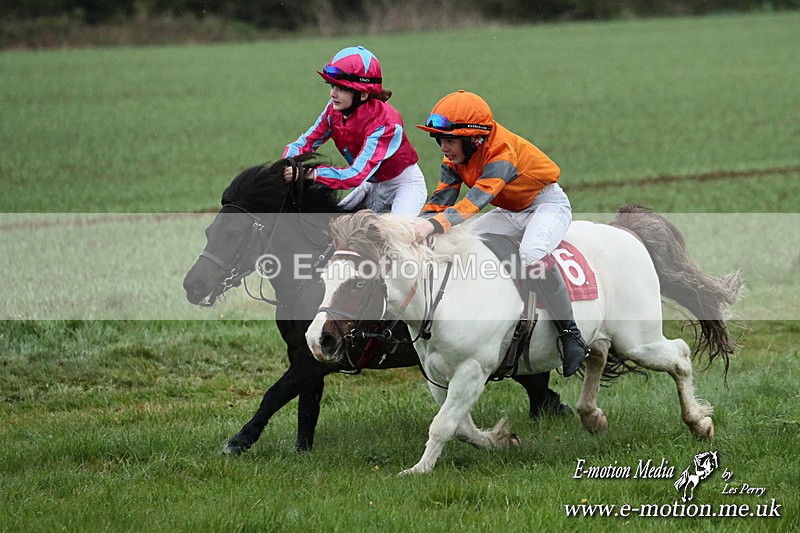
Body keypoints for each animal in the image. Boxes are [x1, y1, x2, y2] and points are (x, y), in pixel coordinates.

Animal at [182, 154, 567, 455]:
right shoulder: (308, 349)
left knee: (541, 389)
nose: (192, 285)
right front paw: (301, 451)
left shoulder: (315, 357)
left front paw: (238, 441)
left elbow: (274, 395)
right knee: (541, 392)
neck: (313, 272)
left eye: (233, 233)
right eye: (208, 232)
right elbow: (307, 406)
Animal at [306, 208, 741, 474]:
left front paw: (418, 469)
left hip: (638, 337)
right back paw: (592, 415)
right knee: (596, 355)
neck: (442, 294)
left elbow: (442, 425)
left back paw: (699, 423)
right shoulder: (440, 377)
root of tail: (626, 232)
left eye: (358, 283)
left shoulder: (472, 370)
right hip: (608, 335)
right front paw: (501, 440)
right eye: (324, 278)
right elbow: (460, 426)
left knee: (679, 356)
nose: (317, 340)